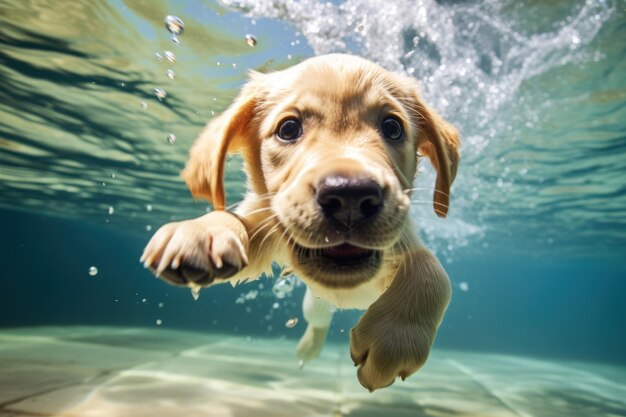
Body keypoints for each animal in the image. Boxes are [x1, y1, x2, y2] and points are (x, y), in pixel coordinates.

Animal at [140, 53, 458, 392]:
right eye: (289, 128)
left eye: (392, 127)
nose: (350, 195)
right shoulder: (267, 226)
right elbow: (232, 218)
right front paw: (201, 232)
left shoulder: (404, 237)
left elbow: (432, 271)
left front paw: (394, 340)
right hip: (314, 303)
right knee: (318, 322)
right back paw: (308, 348)